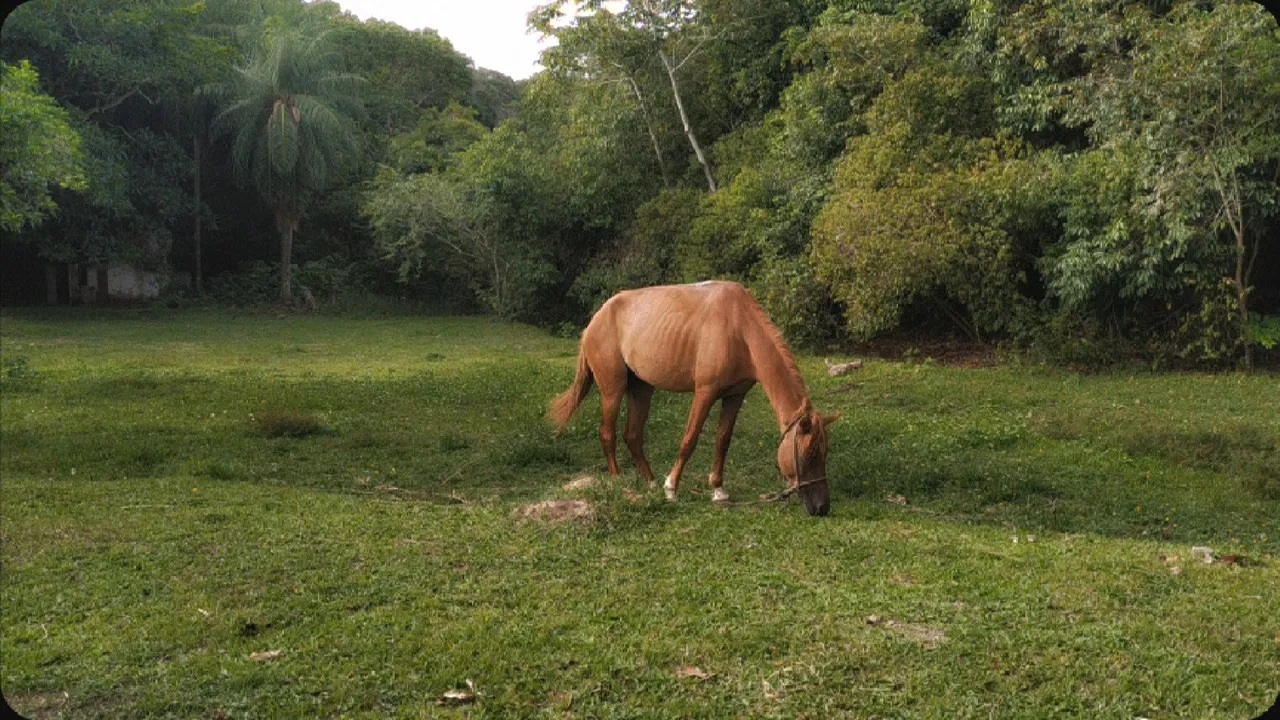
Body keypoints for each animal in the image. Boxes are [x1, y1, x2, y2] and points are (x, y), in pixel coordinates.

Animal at [547, 281, 840, 516]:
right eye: (809, 454)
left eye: (825, 453)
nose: (822, 507)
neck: (739, 328)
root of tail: (595, 320)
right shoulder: (705, 393)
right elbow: (690, 439)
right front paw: (671, 488)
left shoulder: (735, 395)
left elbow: (723, 441)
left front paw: (718, 490)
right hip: (613, 389)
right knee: (607, 433)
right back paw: (620, 481)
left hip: (642, 388)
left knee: (633, 435)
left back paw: (650, 482)